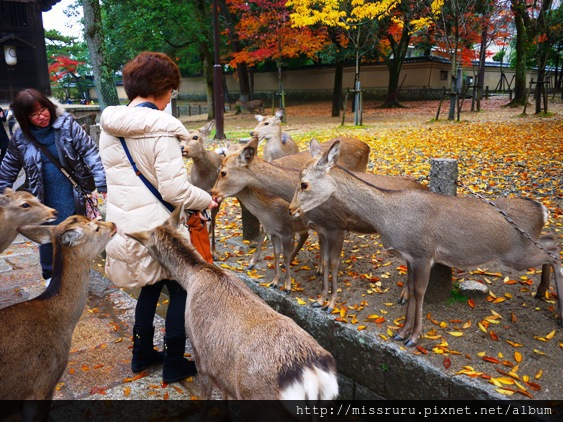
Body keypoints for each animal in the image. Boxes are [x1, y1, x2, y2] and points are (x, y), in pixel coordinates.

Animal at [127, 208, 340, 402]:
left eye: (149, 248)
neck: (193, 277)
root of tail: (311, 376)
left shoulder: (201, 357)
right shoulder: (223, 374)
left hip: (257, 395)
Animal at [212, 138, 428, 310]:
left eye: (223, 172)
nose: (213, 193)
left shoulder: (336, 227)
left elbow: (332, 262)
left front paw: (330, 304)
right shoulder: (320, 229)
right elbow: (323, 259)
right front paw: (319, 298)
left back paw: (404, 297)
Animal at [290, 141, 563, 346]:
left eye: (304, 183)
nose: (292, 209)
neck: (388, 217)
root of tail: (541, 210)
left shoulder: (423, 252)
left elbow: (419, 292)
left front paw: (413, 337)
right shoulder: (410, 256)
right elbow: (411, 290)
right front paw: (401, 332)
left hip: (516, 253)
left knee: (553, 249)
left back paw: (556, 309)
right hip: (524, 247)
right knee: (550, 240)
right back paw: (541, 292)